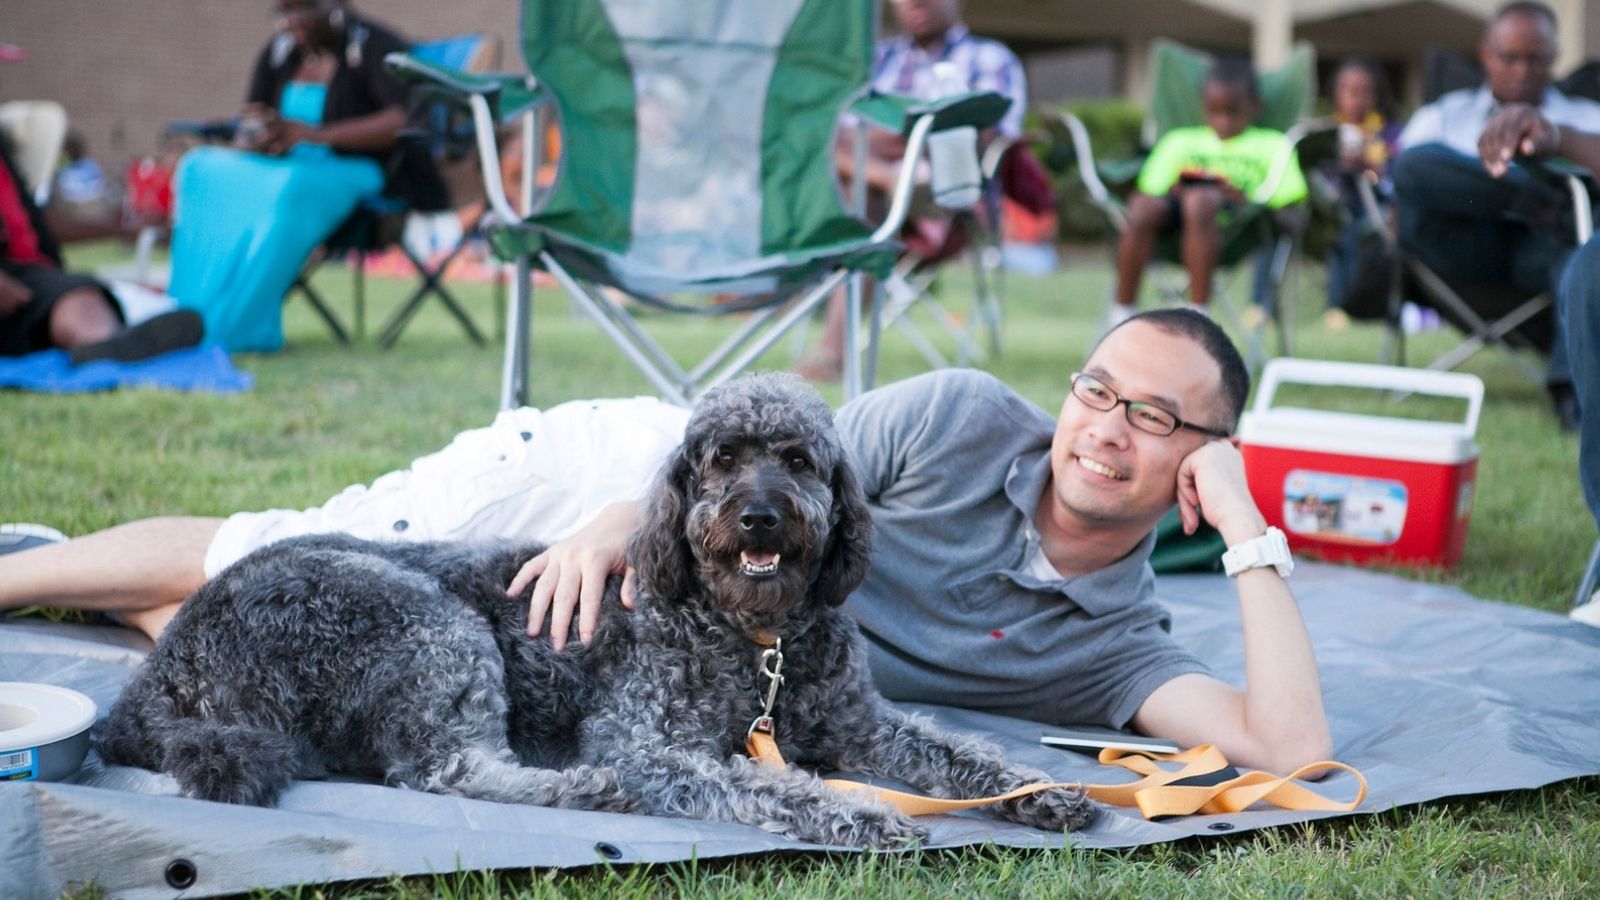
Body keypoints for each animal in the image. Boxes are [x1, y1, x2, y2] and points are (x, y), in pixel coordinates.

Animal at [103, 369, 1100, 839]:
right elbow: (765, 784)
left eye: (799, 459)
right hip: (427, 622)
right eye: (722, 459)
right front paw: (858, 815)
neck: (754, 635)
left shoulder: (861, 724)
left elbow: (962, 755)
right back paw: (586, 789)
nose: (760, 514)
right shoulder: (647, 740)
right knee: (444, 772)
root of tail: (161, 673)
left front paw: (1045, 792)